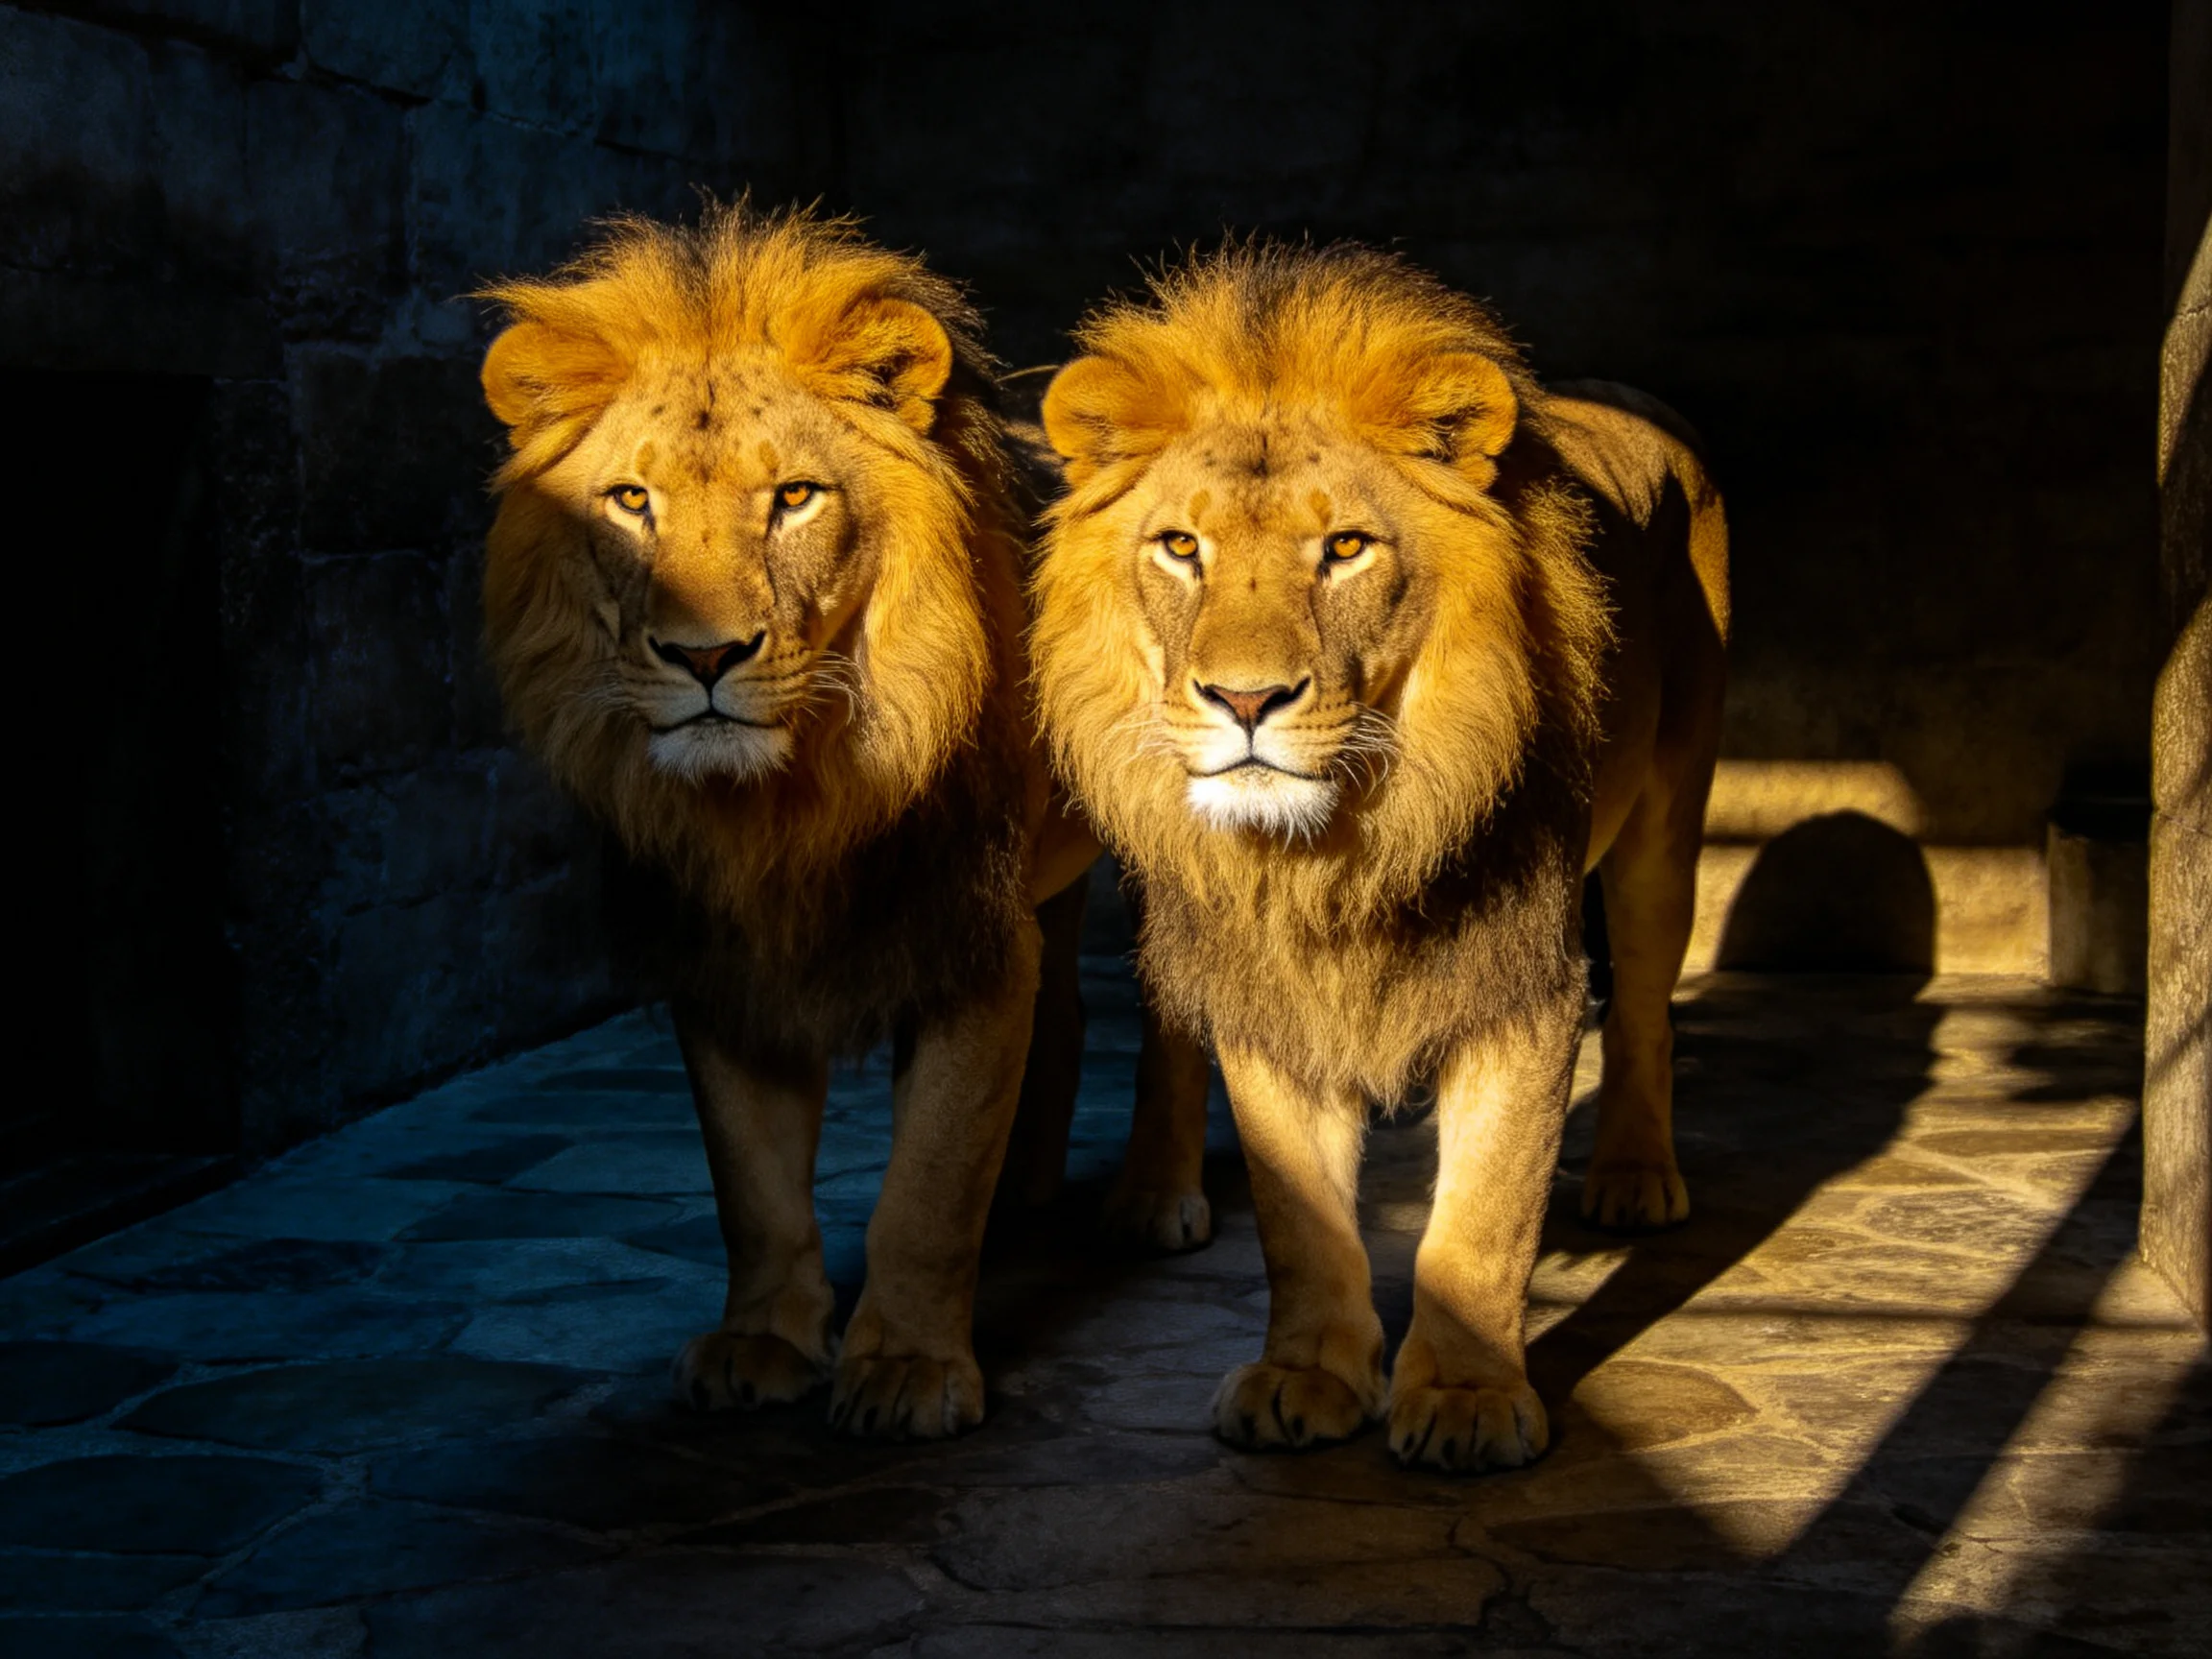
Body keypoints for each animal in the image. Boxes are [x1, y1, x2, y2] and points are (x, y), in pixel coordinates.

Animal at [476, 204, 1210, 1441]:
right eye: (631, 502)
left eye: (794, 498)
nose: (705, 657)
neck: (785, 803)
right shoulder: (719, 948)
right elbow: (752, 1176)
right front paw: (763, 1343)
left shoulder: (967, 935)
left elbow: (928, 1178)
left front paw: (909, 1367)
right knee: (1063, 1014)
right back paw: (1027, 1193)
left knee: (1176, 1016)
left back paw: (1156, 1199)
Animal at [1031, 244, 1729, 1471]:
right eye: (1182, 546)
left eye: (1346, 548)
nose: (1245, 699)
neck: (1331, 851)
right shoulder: (1263, 982)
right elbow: (1297, 1214)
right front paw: (1307, 1377)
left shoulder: (1521, 987)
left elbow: (1483, 1215)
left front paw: (1464, 1398)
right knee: (1167, 1032)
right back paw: (1152, 1198)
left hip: (1667, 818)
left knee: (1647, 1000)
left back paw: (1635, 1177)